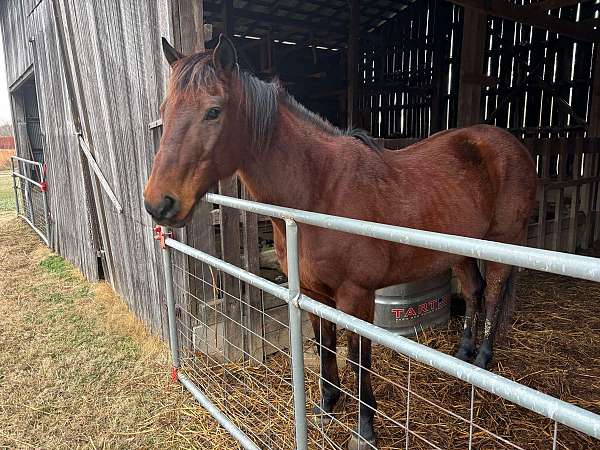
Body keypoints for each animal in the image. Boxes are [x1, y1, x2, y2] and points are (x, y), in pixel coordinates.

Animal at [145, 36, 540, 450]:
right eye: (165, 110)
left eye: (213, 111)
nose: (159, 204)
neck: (320, 189)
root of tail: (509, 144)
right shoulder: (314, 293)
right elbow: (325, 346)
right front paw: (327, 404)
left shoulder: (357, 296)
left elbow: (358, 357)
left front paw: (364, 428)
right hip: (460, 250)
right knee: (474, 290)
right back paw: (462, 354)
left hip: (502, 242)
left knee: (493, 293)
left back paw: (482, 360)